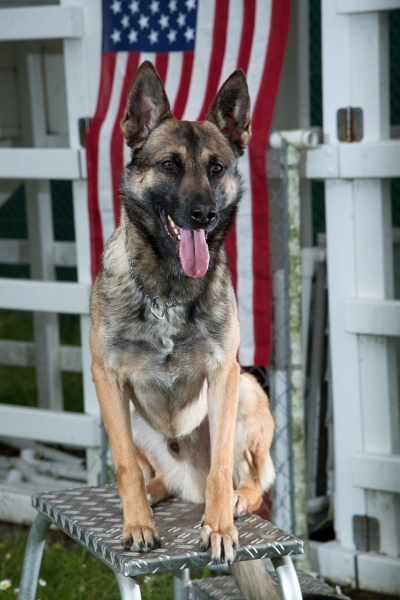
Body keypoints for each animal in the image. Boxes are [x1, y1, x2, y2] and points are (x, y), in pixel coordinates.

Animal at [90, 62, 278, 600]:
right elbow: (125, 466)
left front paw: (219, 527)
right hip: (127, 416)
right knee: (148, 473)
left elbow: (220, 469)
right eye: (170, 165)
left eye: (216, 168)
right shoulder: (106, 376)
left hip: (248, 390)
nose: (204, 214)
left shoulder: (225, 373)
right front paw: (137, 524)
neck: (168, 289)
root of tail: (184, 481)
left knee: (248, 482)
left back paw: (233, 501)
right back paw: (152, 497)